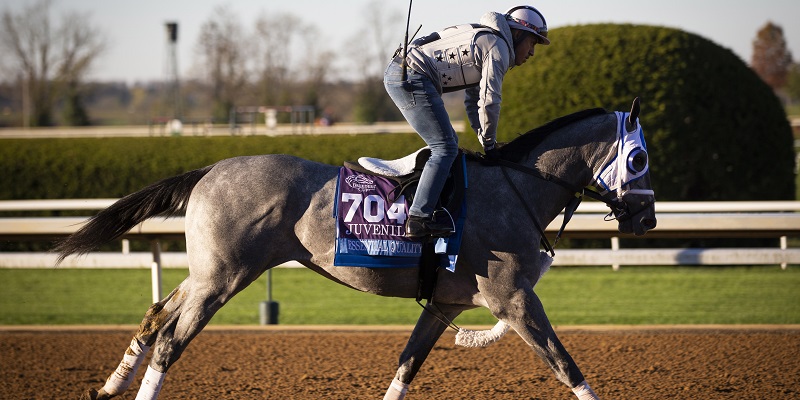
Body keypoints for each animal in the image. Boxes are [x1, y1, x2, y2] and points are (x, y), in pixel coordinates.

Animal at [57, 97, 656, 400]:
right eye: (639, 159)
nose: (648, 218)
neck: (516, 187)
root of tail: (209, 169)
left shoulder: (445, 302)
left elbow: (407, 366)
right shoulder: (514, 299)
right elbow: (565, 365)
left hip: (207, 273)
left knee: (156, 315)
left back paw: (110, 385)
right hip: (223, 278)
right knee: (169, 342)